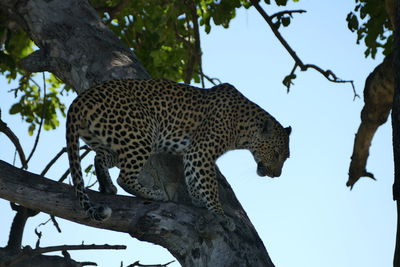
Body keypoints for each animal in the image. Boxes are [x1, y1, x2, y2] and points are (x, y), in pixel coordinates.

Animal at [66, 78, 290, 231]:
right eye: (276, 153)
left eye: (285, 157)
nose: (276, 175)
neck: (243, 128)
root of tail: (80, 98)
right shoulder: (202, 150)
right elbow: (209, 184)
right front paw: (220, 213)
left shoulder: (193, 152)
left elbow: (193, 177)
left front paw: (198, 201)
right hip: (142, 133)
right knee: (125, 177)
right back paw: (154, 194)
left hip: (111, 140)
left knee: (99, 158)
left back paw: (107, 186)